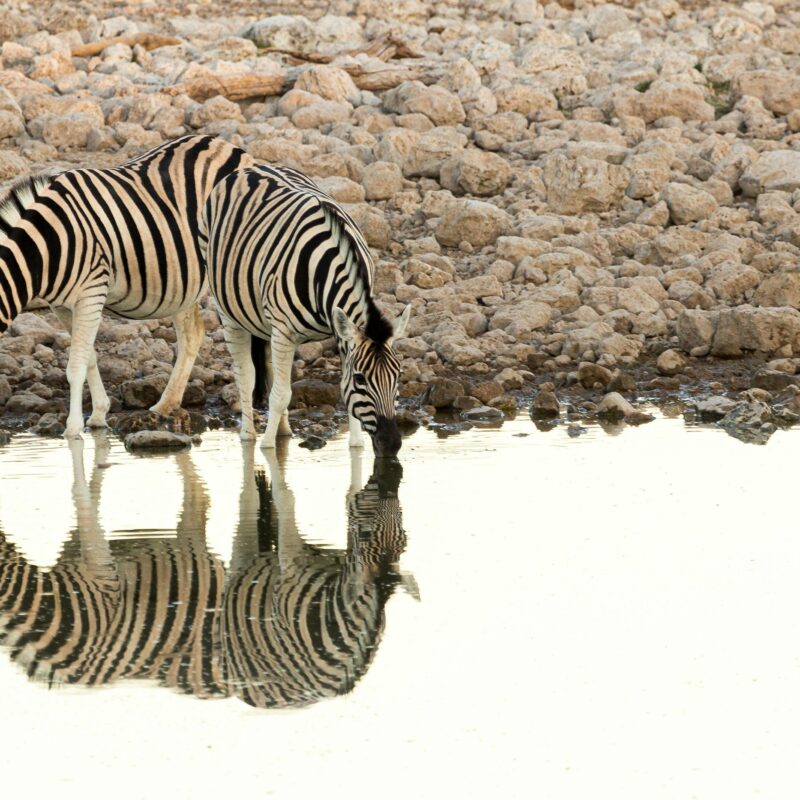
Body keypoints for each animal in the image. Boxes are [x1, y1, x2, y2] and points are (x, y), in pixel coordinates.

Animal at [0, 135, 252, 440]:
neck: (46, 246)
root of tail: (225, 144)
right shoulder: (62, 305)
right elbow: (89, 356)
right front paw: (99, 414)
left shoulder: (91, 291)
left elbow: (75, 365)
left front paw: (73, 429)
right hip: (185, 281)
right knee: (192, 334)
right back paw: (166, 404)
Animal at [200, 164, 412, 456]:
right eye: (361, 379)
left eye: (398, 376)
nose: (391, 444)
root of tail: (253, 167)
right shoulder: (284, 331)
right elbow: (280, 394)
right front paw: (267, 449)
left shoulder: (339, 334)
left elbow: (338, 393)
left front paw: (356, 447)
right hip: (228, 308)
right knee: (246, 374)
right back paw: (249, 436)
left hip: (267, 325)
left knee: (270, 372)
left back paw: (283, 430)